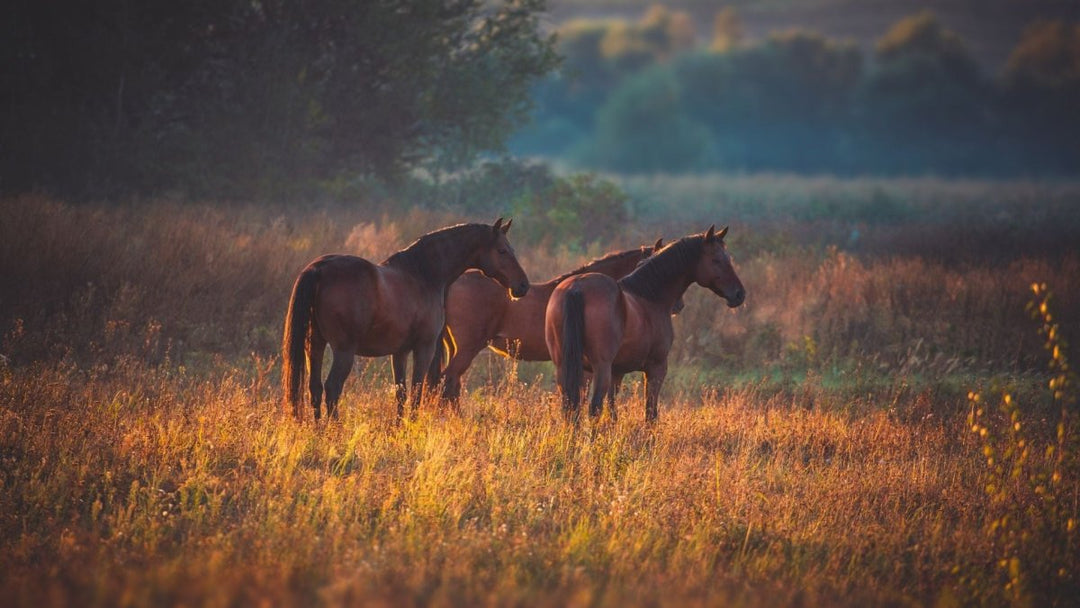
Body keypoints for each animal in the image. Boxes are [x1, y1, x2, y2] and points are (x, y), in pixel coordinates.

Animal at [282, 219, 527, 423]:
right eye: (502, 250)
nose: (523, 286)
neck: (422, 274)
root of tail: (319, 269)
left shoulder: (399, 352)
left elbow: (401, 393)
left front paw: (399, 428)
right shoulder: (424, 348)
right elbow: (417, 391)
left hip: (315, 345)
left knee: (315, 388)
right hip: (344, 351)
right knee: (332, 388)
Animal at [544, 226, 747, 423]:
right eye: (717, 260)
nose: (739, 294)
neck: (650, 296)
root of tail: (576, 287)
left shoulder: (617, 372)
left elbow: (612, 413)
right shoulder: (656, 368)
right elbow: (650, 414)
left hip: (566, 367)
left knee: (571, 409)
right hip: (600, 368)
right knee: (593, 409)